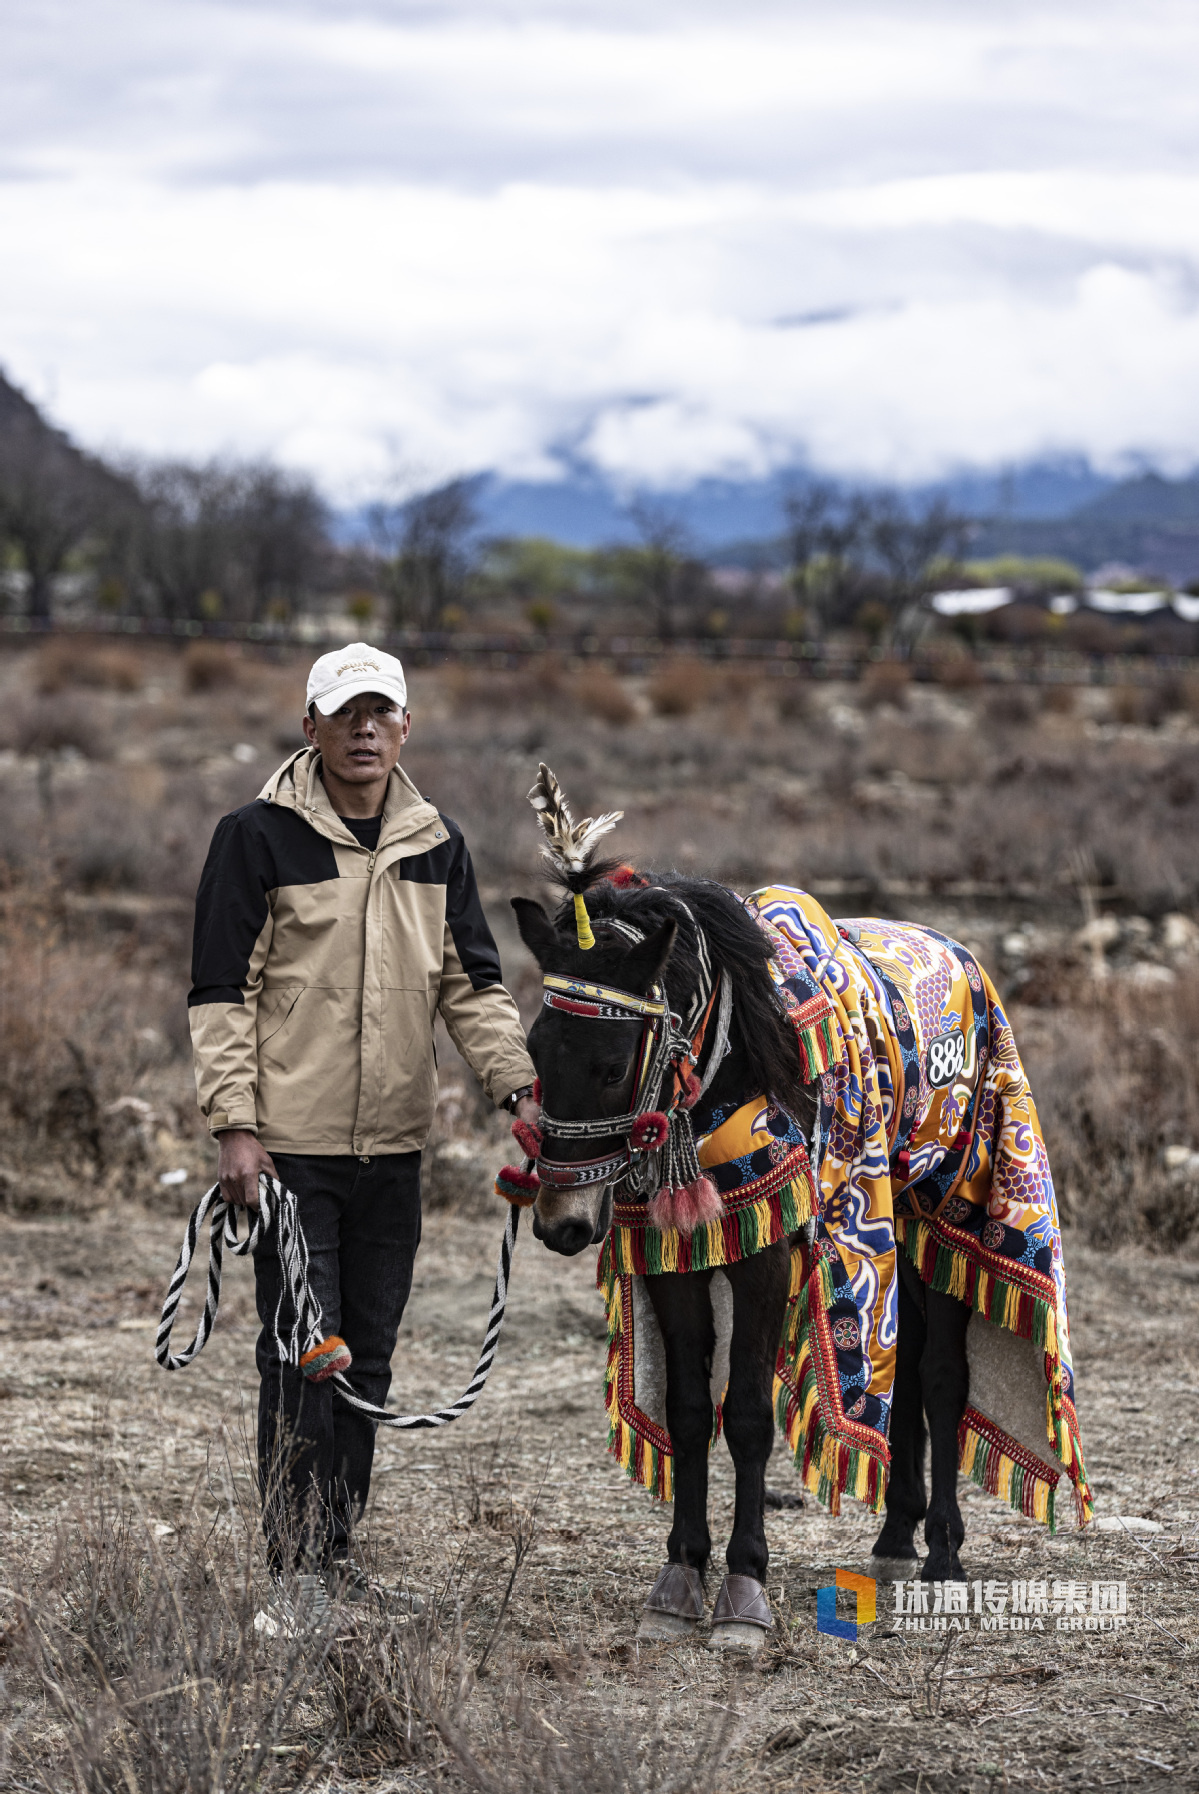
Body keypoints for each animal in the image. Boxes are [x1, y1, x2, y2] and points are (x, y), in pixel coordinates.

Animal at [509, 875, 976, 1643]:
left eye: (612, 1067)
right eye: (535, 1050)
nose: (561, 1223)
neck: (729, 1068)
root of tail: (945, 941)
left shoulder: (765, 1257)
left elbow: (750, 1416)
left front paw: (744, 1586)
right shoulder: (674, 1260)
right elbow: (689, 1411)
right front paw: (681, 1574)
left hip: (945, 1207)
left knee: (939, 1377)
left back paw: (941, 1552)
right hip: (899, 1224)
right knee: (903, 1365)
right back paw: (894, 1540)